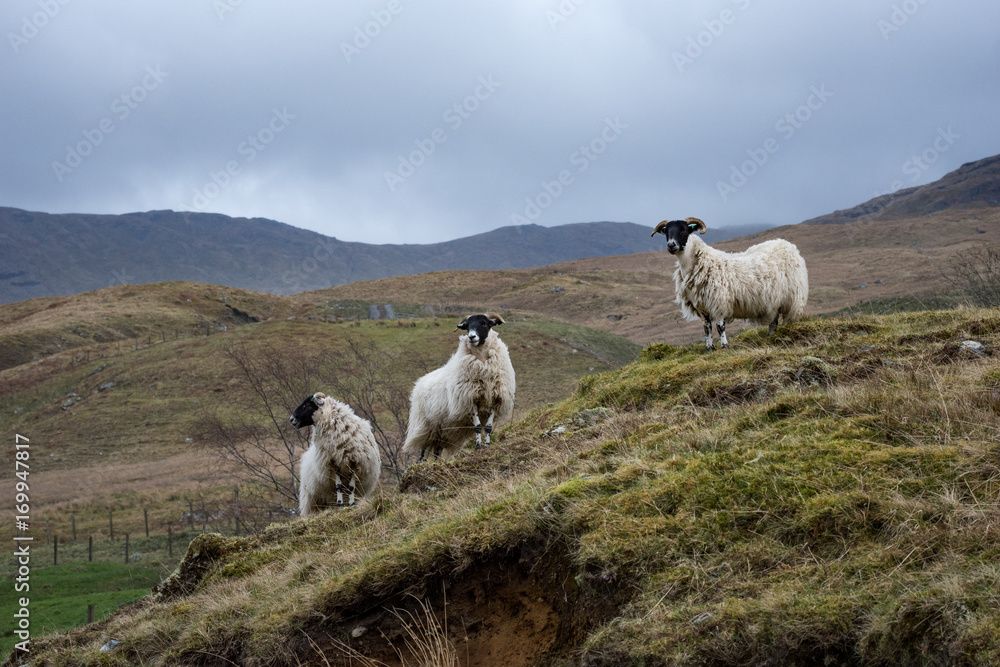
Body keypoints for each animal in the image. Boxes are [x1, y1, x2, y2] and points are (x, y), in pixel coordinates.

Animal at [402, 312, 516, 461]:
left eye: (484, 324)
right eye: (467, 326)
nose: (471, 337)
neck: (482, 360)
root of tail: (419, 383)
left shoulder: (494, 398)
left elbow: (488, 427)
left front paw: (487, 446)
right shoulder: (469, 399)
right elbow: (478, 426)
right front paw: (478, 447)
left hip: (442, 431)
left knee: (437, 450)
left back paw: (438, 463)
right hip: (426, 427)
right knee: (423, 453)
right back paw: (422, 464)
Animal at [651, 217, 808, 350]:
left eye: (684, 230)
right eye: (666, 231)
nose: (671, 245)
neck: (696, 263)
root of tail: (787, 245)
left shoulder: (719, 301)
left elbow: (720, 326)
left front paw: (725, 345)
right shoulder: (702, 306)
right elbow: (706, 328)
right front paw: (710, 347)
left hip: (792, 298)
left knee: (787, 319)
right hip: (773, 300)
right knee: (773, 321)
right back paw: (770, 336)